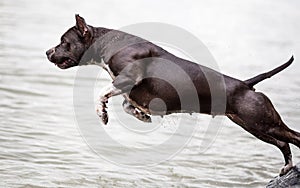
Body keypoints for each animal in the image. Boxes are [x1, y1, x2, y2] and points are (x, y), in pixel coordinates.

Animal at [45, 15, 298, 176]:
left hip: (265, 123)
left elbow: (101, 94)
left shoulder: (129, 78)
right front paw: (141, 115)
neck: (107, 42)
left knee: (293, 136)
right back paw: (287, 168)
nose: (47, 51)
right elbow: (127, 104)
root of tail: (246, 85)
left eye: (64, 42)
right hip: (253, 126)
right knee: (283, 143)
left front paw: (102, 113)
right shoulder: (129, 88)